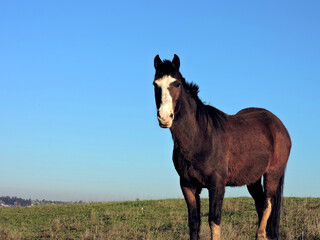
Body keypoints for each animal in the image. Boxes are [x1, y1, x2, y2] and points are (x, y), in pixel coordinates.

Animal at [152, 54, 290, 240]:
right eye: (155, 84)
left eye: (176, 83)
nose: (164, 117)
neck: (200, 135)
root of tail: (278, 125)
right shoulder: (188, 186)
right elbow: (194, 223)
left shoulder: (216, 185)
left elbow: (214, 221)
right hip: (253, 180)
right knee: (261, 205)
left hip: (272, 174)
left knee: (267, 205)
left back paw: (261, 234)